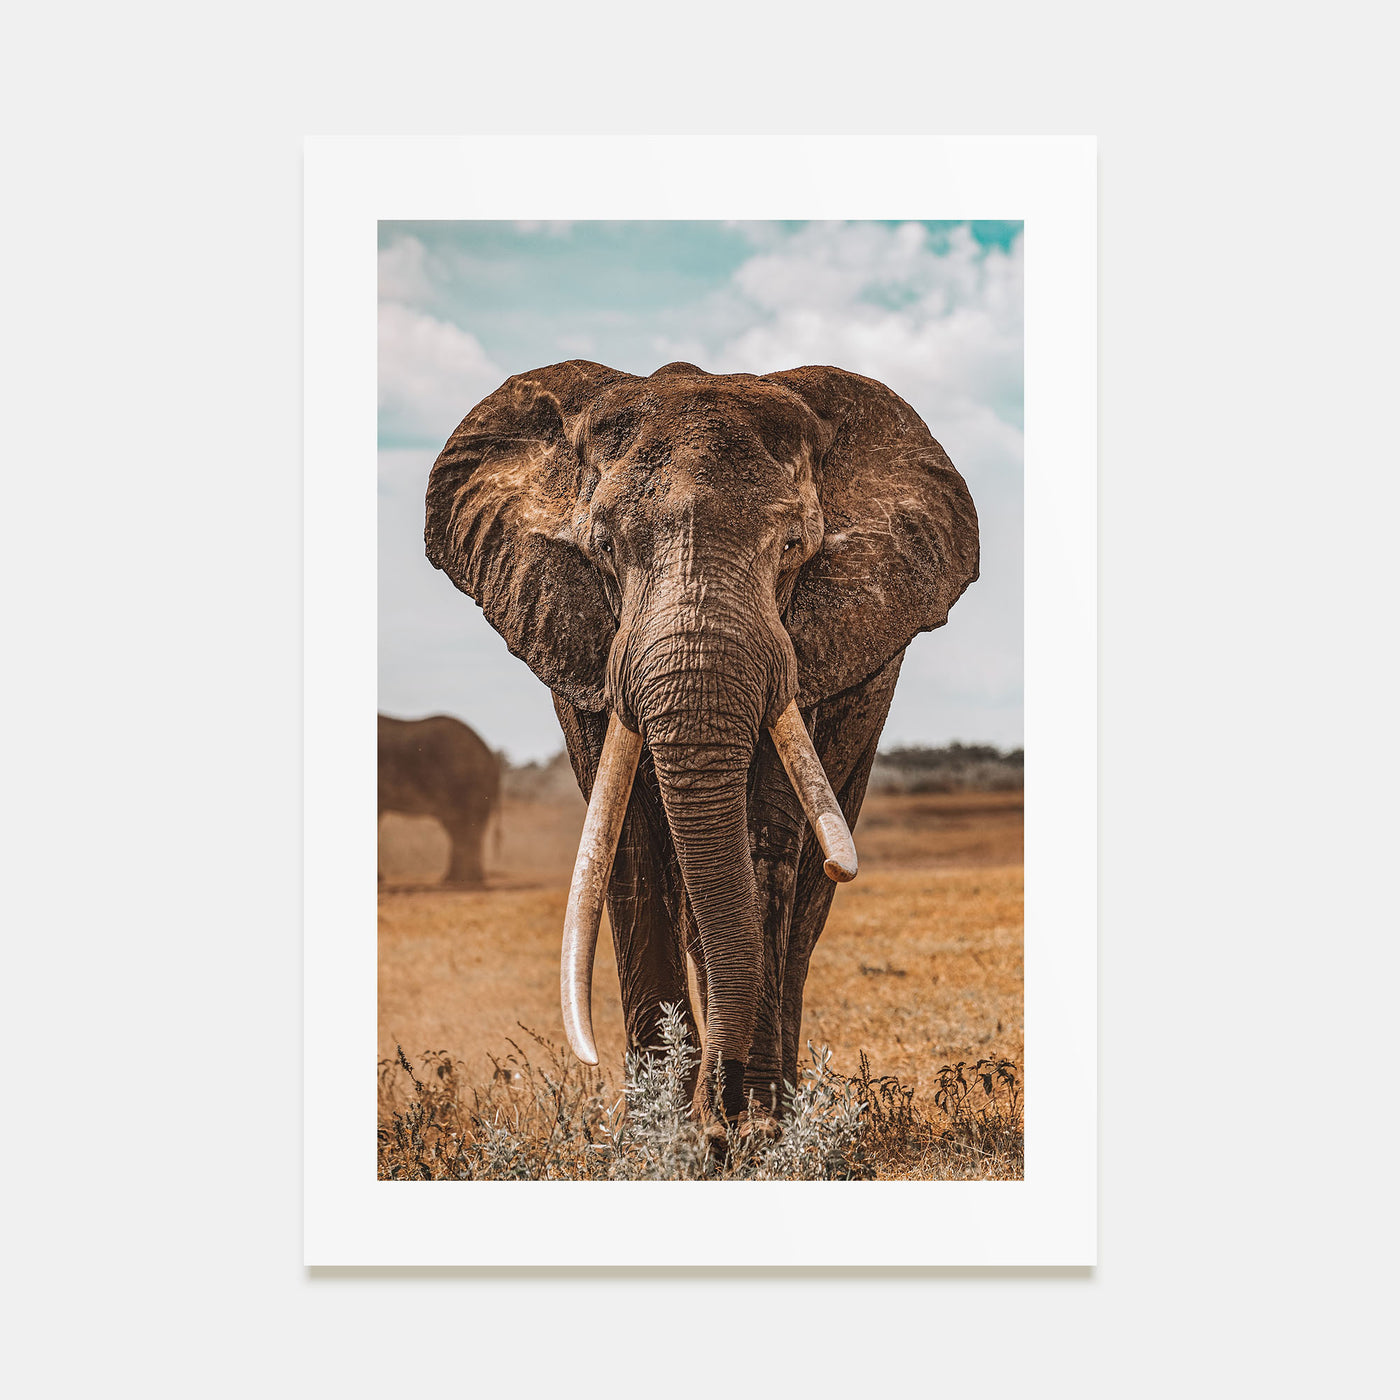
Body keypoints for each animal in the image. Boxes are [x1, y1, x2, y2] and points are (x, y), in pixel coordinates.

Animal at [424, 360, 978, 1124]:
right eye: (603, 548)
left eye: (793, 549)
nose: (720, 1109)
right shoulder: (582, 644)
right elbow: (627, 845)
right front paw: (659, 1132)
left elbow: (764, 842)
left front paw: (748, 1129)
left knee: (803, 907)